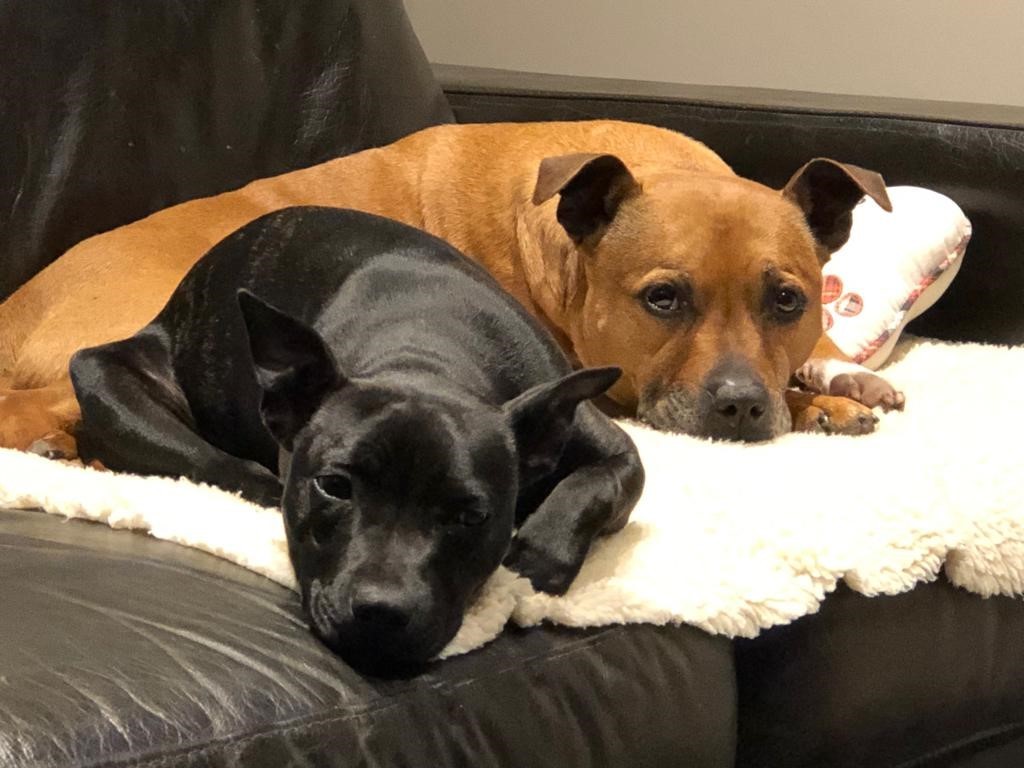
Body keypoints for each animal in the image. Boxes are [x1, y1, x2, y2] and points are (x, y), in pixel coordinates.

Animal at [0, 120, 897, 456]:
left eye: (788, 300)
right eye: (662, 299)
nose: (743, 406)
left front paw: (837, 375)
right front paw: (816, 402)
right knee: (36, 407)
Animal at [72, 205, 638, 671]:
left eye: (471, 517)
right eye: (334, 487)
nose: (382, 612)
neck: (428, 360)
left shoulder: (618, 450)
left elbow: (593, 482)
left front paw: (541, 551)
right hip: (100, 377)